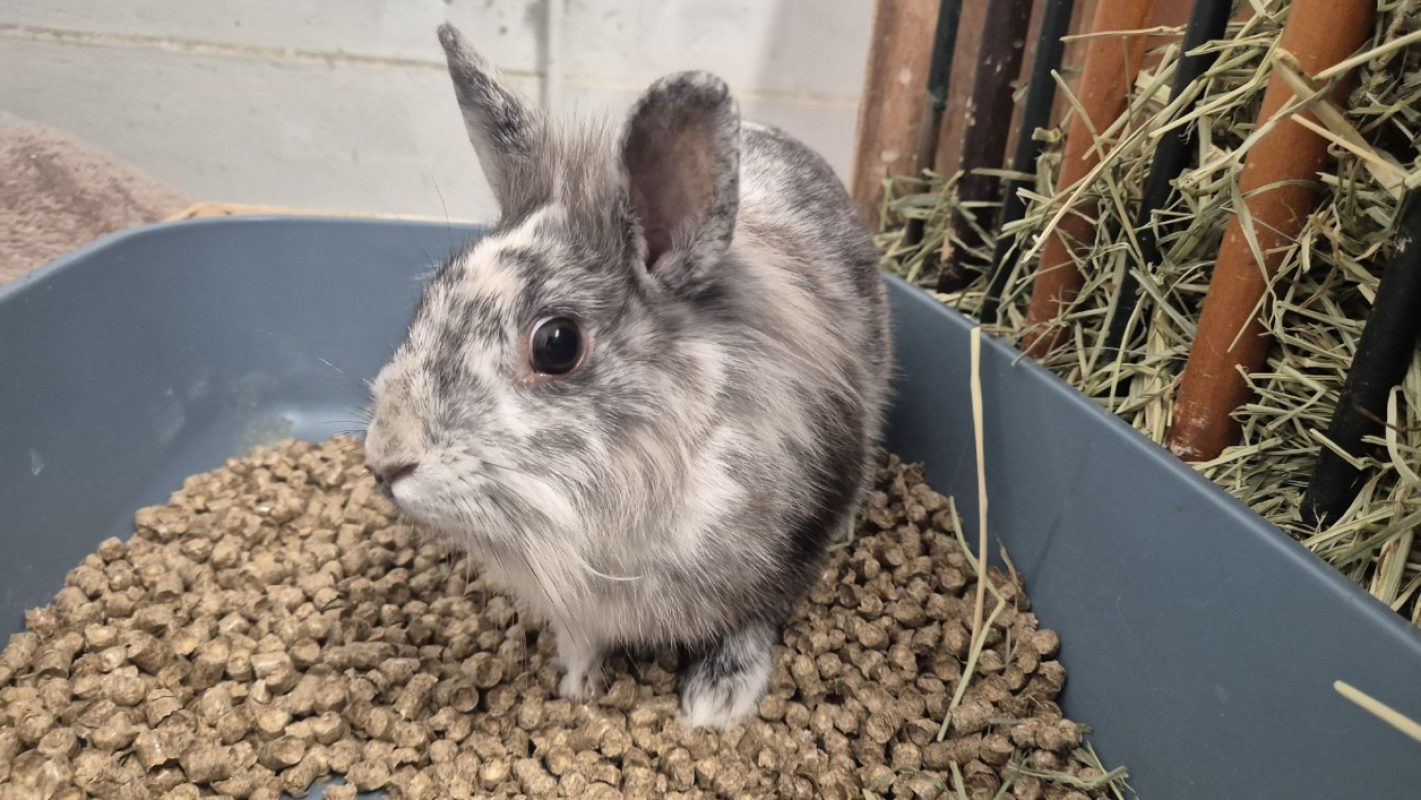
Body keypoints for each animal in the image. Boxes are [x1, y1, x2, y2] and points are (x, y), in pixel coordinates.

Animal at [362, 23, 891, 729]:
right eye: (434, 294)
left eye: (557, 344)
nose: (385, 460)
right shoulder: (577, 608)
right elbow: (580, 642)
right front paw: (574, 689)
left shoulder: (784, 558)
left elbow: (751, 625)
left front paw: (713, 707)